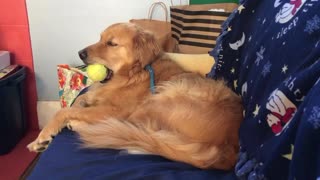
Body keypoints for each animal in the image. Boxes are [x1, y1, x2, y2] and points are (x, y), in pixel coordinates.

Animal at [28, 22, 242, 170]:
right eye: (100, 38)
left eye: (112, 43)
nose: (80, 53)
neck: (133, 74)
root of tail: (228, 149)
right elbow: (80, 100)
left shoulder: (116, 110)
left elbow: (63, 112)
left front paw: (42, 137)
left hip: (161, 98)